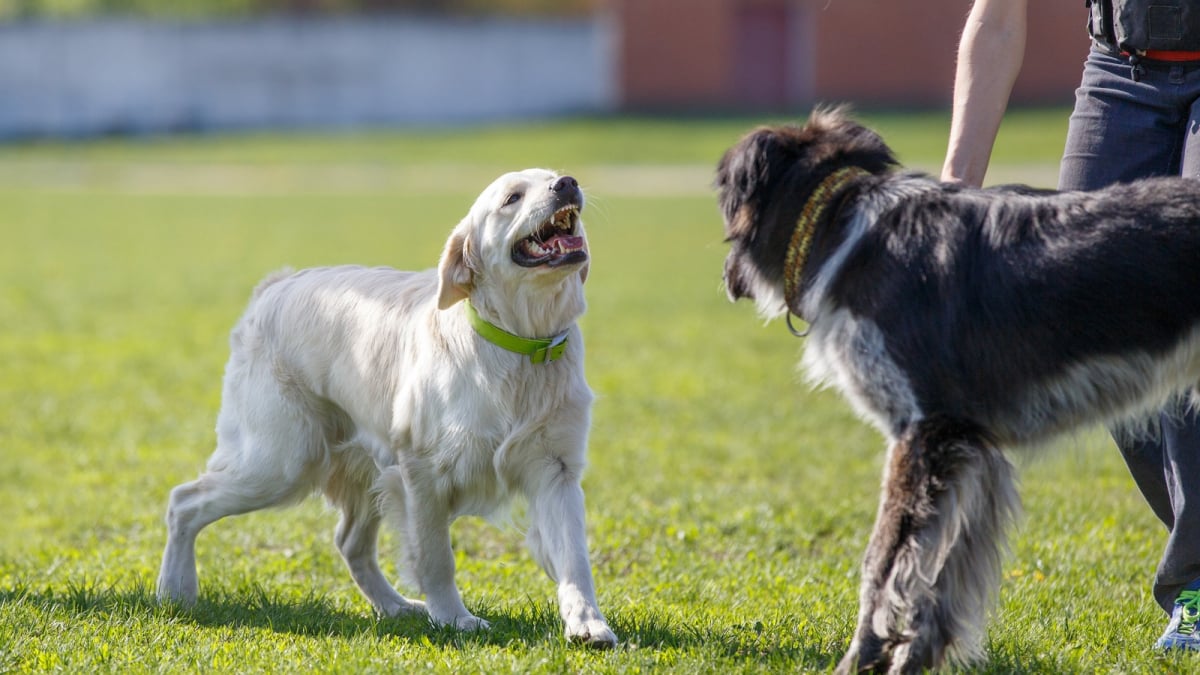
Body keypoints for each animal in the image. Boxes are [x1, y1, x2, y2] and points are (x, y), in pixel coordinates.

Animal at [154, 165, 614, 643]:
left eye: (553, 176)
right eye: (512, 198)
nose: (567, 184)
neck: (523, 344)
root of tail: (276, 286)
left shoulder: (555, 469)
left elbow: (575, 559)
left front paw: (588, 623)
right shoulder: (423, 471)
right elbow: (436, 557)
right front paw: (455, 618)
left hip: (354, 469)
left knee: (349, 543)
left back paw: (395, 606)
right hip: (280, 461)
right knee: (183, 501)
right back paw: (175, 591)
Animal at [715, 107, 1200, 667]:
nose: (724, 276)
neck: (845, 235)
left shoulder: (924, 433)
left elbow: (883, 565)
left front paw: (860, 659)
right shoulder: (969, 453)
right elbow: (942, 574)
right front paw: (912, 660)